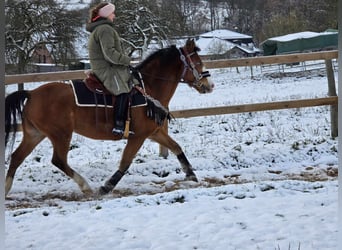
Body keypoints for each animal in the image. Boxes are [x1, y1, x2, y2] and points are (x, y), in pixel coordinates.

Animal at [4, 38, 214, 196]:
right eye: (197, 62)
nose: (209, 85)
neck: (148, 88)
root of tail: (31, 93)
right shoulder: (138, 137)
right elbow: (125, 162)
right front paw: (106, 187)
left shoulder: (154, 133)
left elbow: (177, 147)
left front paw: (191, 174)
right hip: (61, 134)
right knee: (58, 160)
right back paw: (85, 186)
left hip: (35, 134)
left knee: (16, 157)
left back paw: (6, 190)